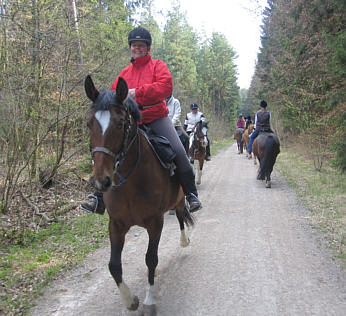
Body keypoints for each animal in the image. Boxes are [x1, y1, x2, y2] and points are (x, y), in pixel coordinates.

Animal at [84, 75, 195, 314]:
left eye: (119, 123)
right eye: (89, 123)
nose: (101, 181)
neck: (131, 180)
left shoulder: (155, 221)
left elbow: (151, 258)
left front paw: (149, 300)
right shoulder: (116, 224)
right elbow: (114, 265)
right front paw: (130, 301)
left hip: (179, 200)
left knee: (181, 216)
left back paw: (184, 241)